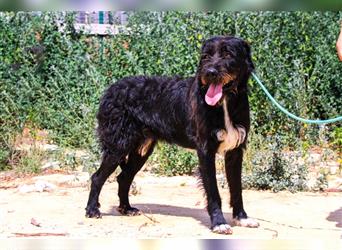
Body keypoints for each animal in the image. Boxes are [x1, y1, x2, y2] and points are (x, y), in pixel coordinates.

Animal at [85, 35, 260, 234]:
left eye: (228, 54)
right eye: (206, 56)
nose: (209, 72)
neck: (224, 102)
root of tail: (110, 90)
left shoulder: (235, 151)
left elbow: (237, 188)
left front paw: (242, 218)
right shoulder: (205, 150)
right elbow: (213, 191)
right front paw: (219, 222)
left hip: (141, 150)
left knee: (123, 177)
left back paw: (126, 208)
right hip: (118, 146)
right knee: (97, 177)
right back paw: (92, 210)